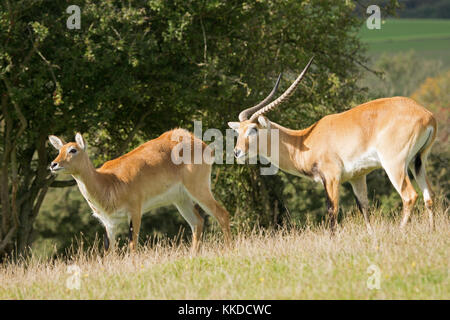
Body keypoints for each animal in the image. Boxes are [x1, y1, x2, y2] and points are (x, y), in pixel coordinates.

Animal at [48, 129, 232, 251]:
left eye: (73, 149)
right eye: (59, 150)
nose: (53, 164)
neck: (109, 182)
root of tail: (201, 143)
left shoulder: (135, 211)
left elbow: (132, 244)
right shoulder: (109, 222)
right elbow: (108, 251)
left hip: (198, 188)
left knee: (222, 214)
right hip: (181, 199)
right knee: (197, 222)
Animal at [229, 57, 436, 232]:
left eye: (253, 129)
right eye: (238, 131)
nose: (237, 152)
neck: (305, 140)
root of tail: (427, 115)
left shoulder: (331, 177)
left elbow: (332, 210)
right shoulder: (357, 177)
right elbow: (364, 208)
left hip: (394, 165)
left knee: (410, 196)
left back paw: (400, 231)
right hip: (418, 162)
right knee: (429, 196)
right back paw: (431, 230)